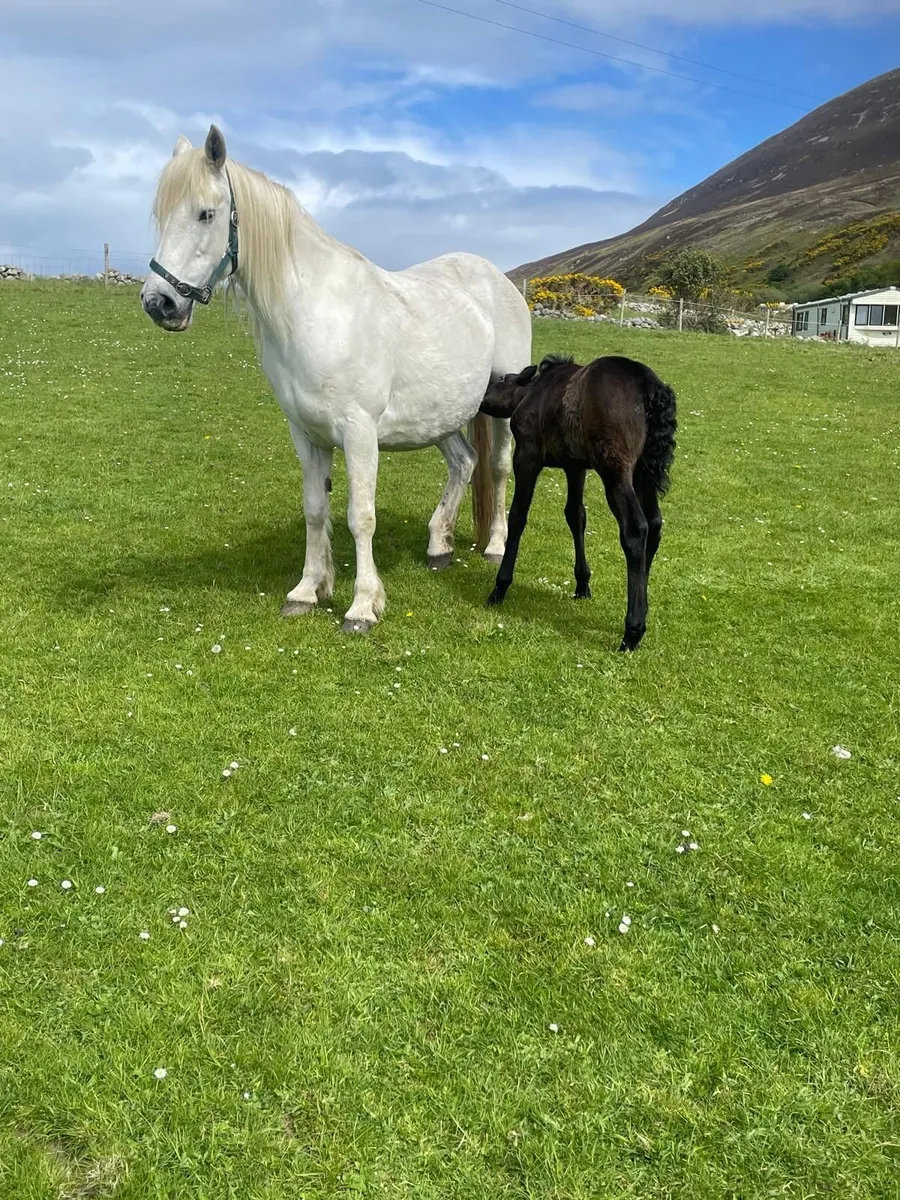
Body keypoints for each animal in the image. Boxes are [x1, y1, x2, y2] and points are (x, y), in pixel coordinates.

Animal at [140, 125, 531, 633]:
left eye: (206, 213)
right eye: (161, 215)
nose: (159, 303)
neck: (315, 312)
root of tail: (496, 279)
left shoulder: (359, 433)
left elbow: (360, 516)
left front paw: (362, 606)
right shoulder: (306, 434)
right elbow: (314, 509)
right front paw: (308, 590)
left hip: (501, 402)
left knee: (499, 467)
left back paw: (496, 546)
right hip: (439, 416)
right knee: (464, 463)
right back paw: (438, 546)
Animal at [479, 354, 677, 651]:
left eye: (502, 379)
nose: (481, 397)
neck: (533, 393)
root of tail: (649, 386)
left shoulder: (527, 455)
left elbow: (518, 516)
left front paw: (500, 587)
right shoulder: (575, 467)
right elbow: (576, 515)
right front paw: (582, 583)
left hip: (616, 470)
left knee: (636, 529)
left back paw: (633, 628)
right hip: (644, 474)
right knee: (654, 525)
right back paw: (644, 610)